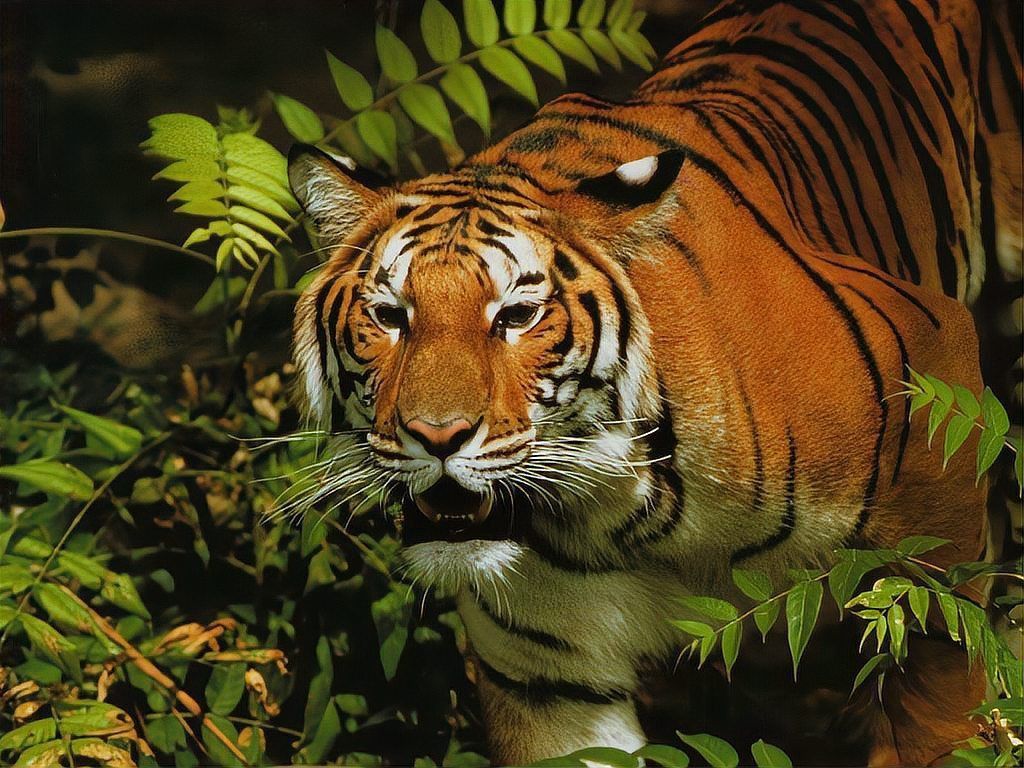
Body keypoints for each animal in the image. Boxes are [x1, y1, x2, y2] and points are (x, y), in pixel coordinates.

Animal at [286, 0, 1022, 764]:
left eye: (517, 315)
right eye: (389, 316)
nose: (436, 436)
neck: (625, 516)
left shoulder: (934, 465)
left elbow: (937, 692)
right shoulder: (552, 684)